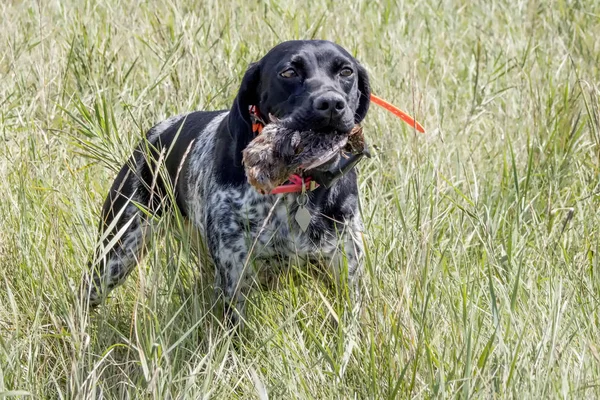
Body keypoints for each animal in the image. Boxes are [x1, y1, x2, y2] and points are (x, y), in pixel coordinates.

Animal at [79, 40, 370, 326]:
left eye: (346, 72)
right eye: (288, 72)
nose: (331, 103)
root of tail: (155, 133)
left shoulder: (347, 275)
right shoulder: (235, 280)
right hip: (114, 255)